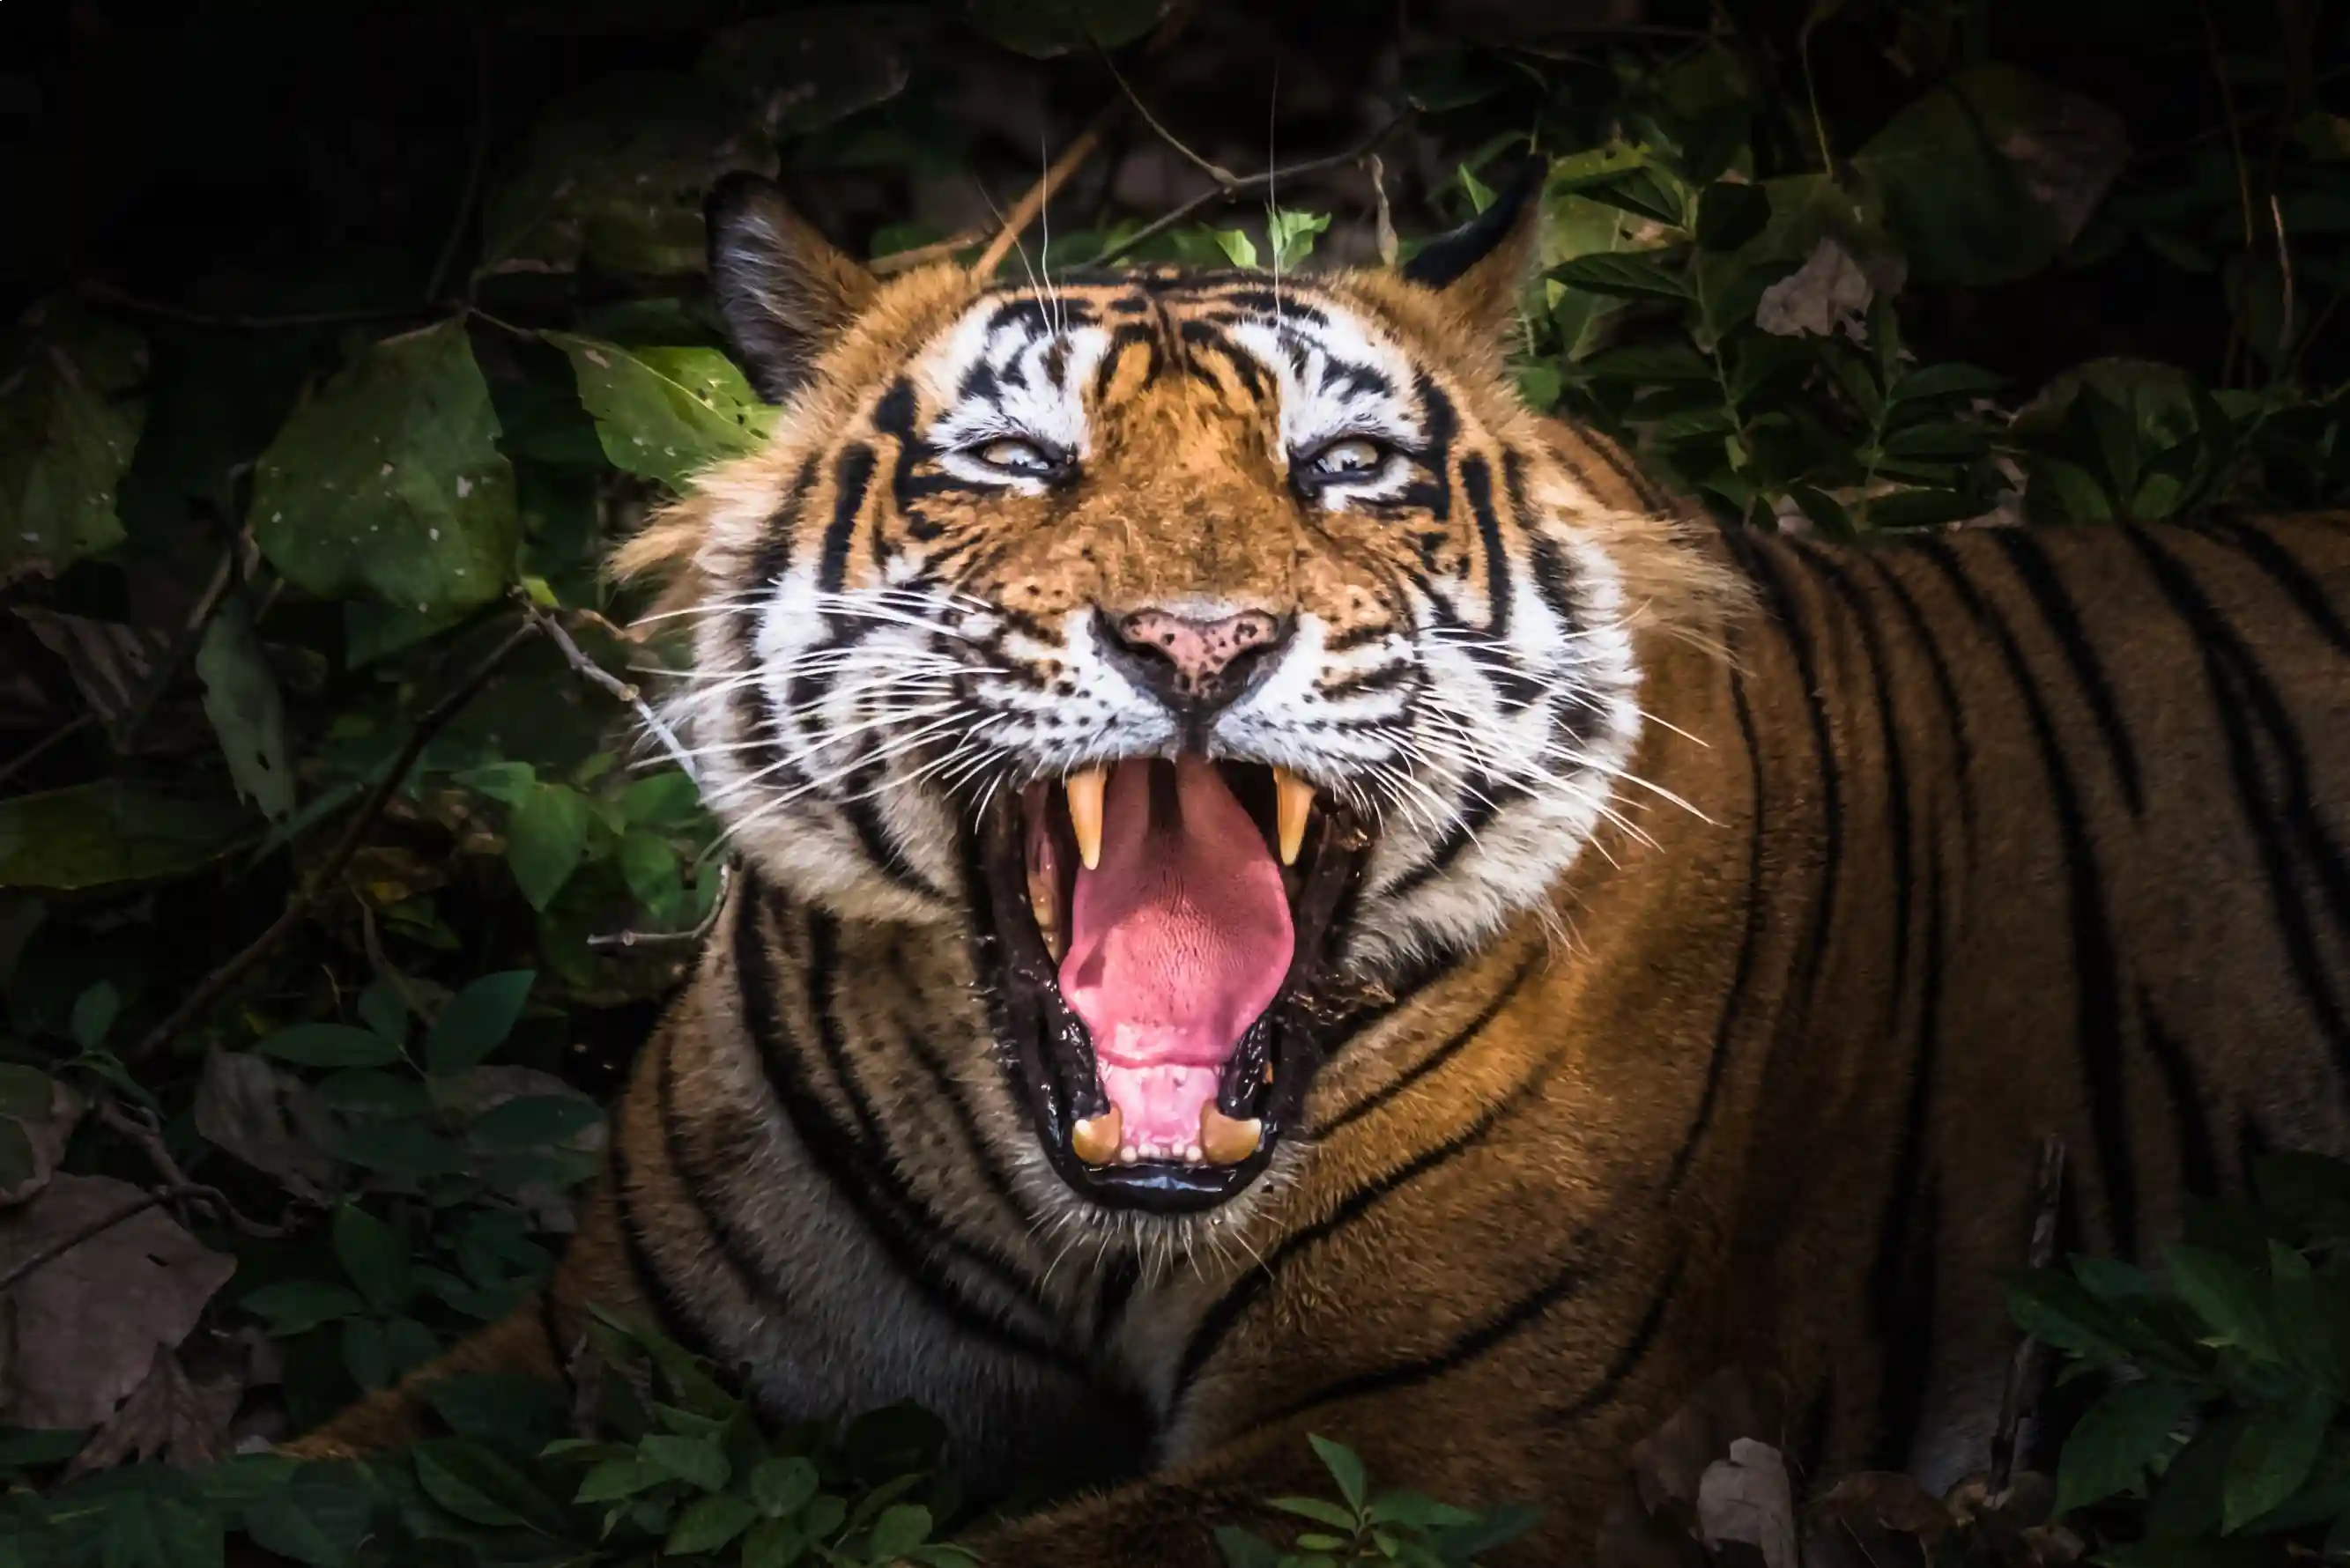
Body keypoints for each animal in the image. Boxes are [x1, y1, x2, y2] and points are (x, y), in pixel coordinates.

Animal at [291, 165, 2350, 1565]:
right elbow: (268, 1477)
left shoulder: (1437, 1445)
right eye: (1016, 465)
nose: (1197, 643)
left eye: (1347, 468)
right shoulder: (607, 1346)